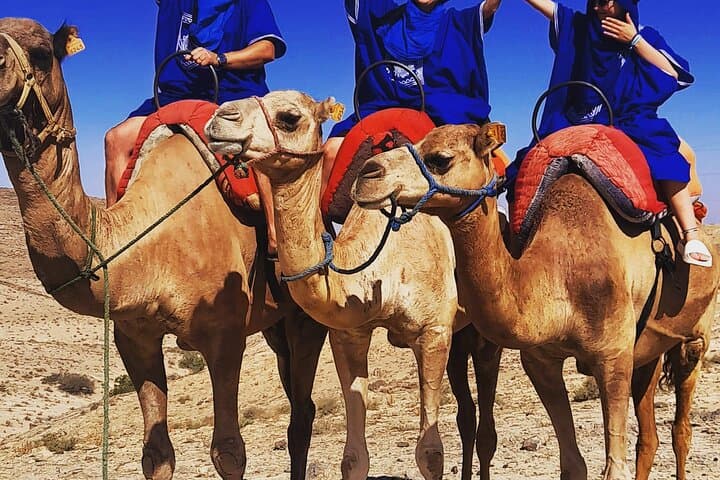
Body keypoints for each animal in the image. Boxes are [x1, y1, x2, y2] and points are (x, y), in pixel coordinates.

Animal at [0, 18, 329, 480]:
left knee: (301, 413)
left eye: (43, 53)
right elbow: (156, 453)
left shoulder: (224, 335)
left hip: (304, 315)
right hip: (274, 325)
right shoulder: (134, 337)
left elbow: (229, 450)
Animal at [205, 90, 503, 480]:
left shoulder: (433, 331)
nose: (219, 118)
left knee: (486, 422)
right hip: (459, 335)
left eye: (289, 118)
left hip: (481, 334)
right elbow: (353, 458)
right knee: (466, 416)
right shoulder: (349, 334)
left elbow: (430, 454)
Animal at [352, 122, 719, 480]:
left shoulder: (612, 355)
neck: (560, 267)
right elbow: (572, 464)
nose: (367, 174)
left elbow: (615, 467)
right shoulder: (540, 361)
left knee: (681, 429)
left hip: (694, 337)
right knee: (649, 436)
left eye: (440, 159)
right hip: (649, 351)